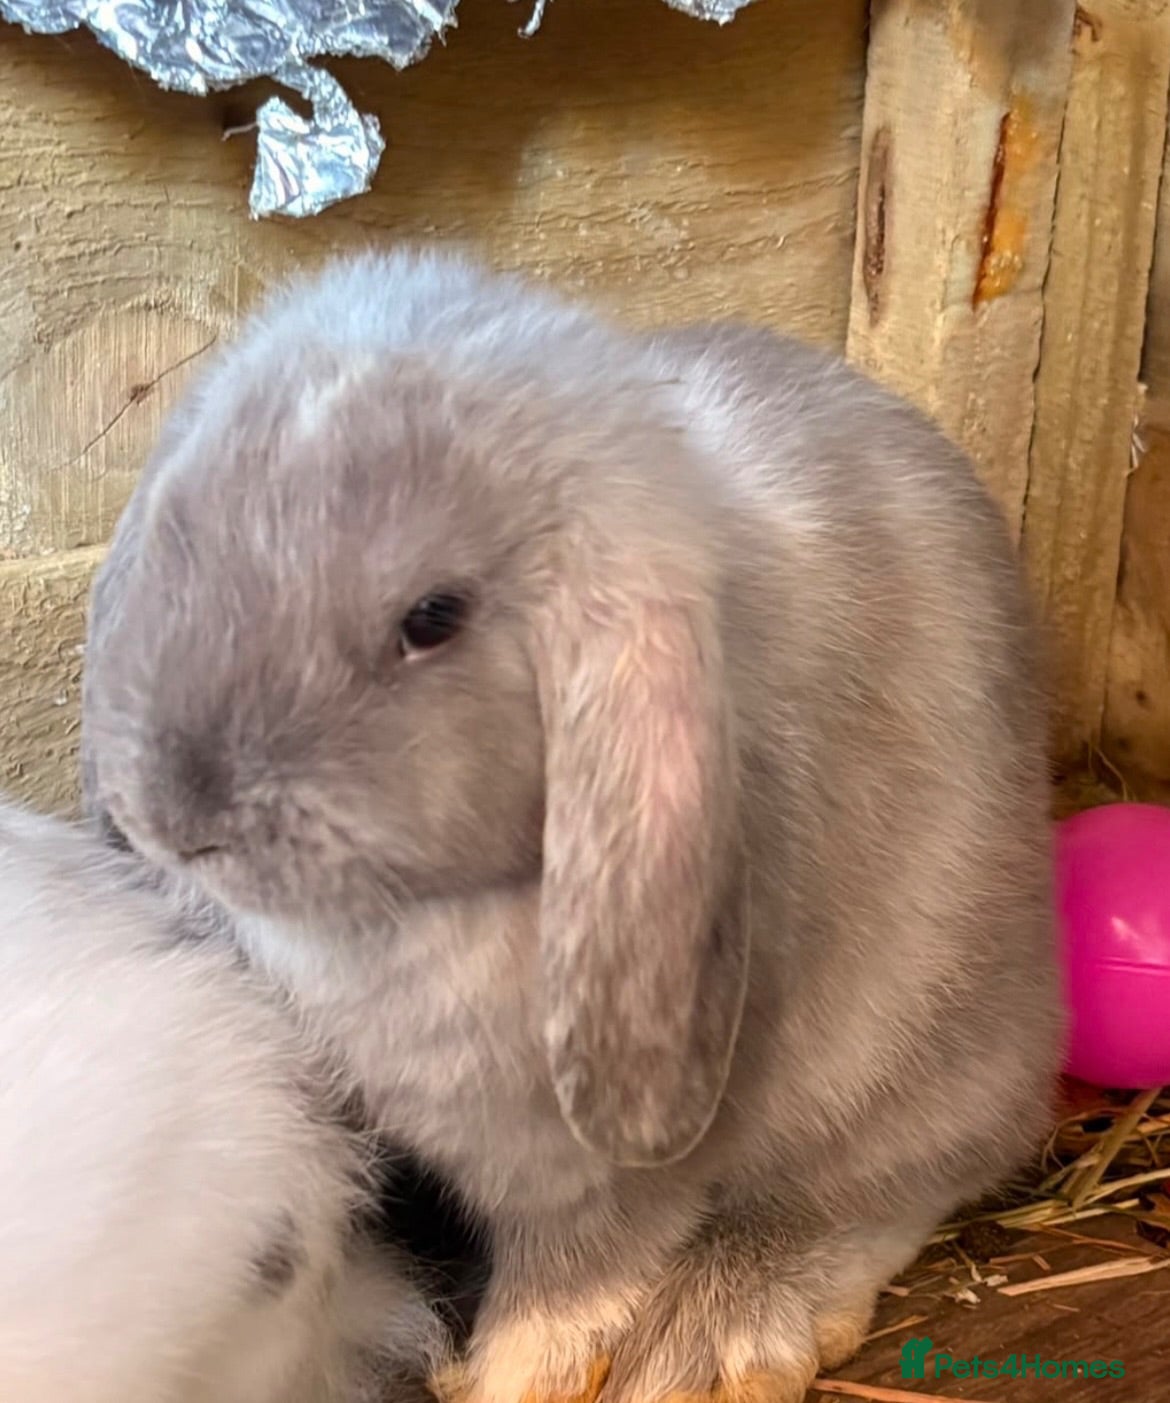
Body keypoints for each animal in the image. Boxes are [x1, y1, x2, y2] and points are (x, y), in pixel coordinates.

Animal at [80, 248, 1063, 1403]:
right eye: (181, 531)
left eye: (433, 618)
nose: (177, 815)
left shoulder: (597, 1153)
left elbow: (587, 1258)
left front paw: (513, 1369)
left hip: (914, 1067)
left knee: (886, 1186)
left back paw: (712, 1337)